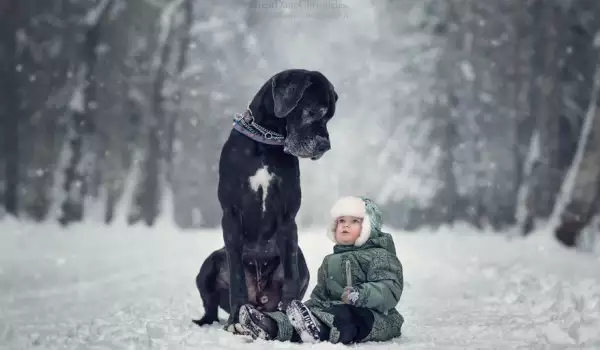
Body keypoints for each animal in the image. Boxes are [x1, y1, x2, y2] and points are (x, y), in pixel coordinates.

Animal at [217, 69, 340, 328]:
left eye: (329, 117)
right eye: (313, 111)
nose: (325, 145)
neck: (266, 142)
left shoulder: (287, 218)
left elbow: (291, 276)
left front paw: (291, 314)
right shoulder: (230, 215)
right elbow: (236, 277)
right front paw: (235, 318)